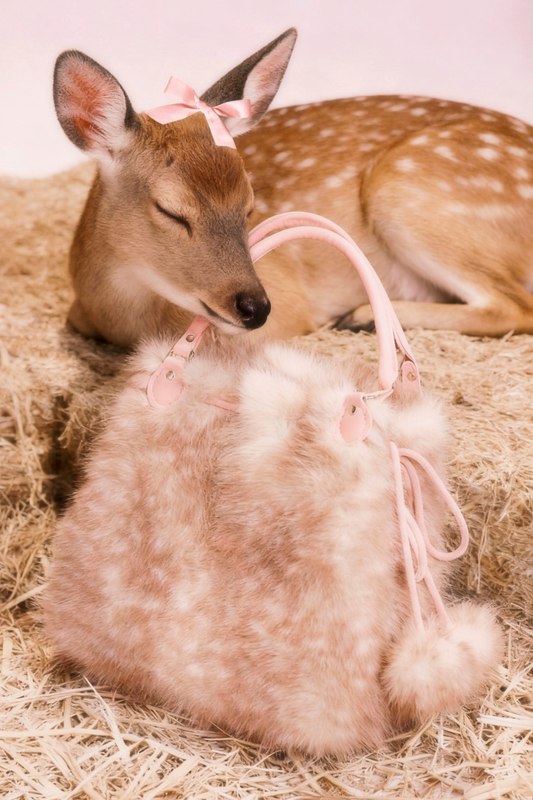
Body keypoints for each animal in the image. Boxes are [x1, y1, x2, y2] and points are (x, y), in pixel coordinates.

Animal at [53, 28, 533, 347]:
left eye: (249, 208)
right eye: (171, 210)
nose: (256, 307)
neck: (121, 319)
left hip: (407, 189)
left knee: (515, 306)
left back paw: (360, 316)